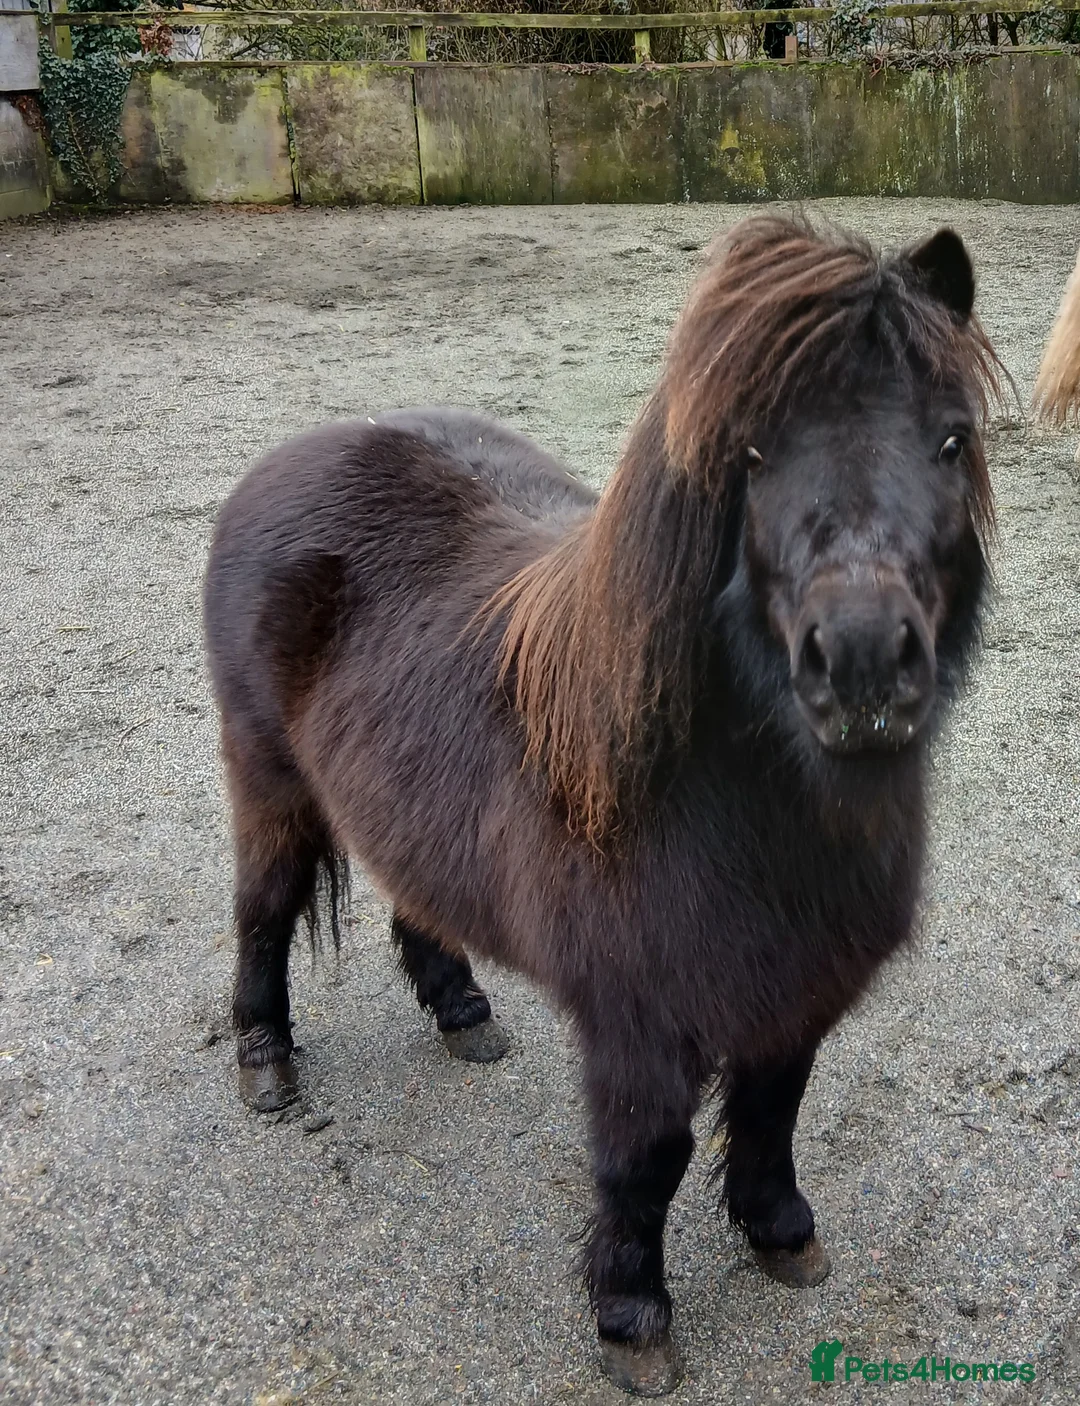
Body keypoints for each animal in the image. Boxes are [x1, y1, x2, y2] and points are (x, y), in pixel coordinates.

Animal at [203, 216, 999, 1396]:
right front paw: (633, 1316)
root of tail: (298, 453)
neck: (729, 804)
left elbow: (774, 1106)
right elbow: (647, 1157)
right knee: (262, 912)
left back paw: (462, 1011)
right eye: (750, 456)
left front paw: (780, 1231)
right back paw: (266, 1064)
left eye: (950, 440)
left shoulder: (794, 986)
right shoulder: (637, 1018)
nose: (860, 662)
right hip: (269, 784)